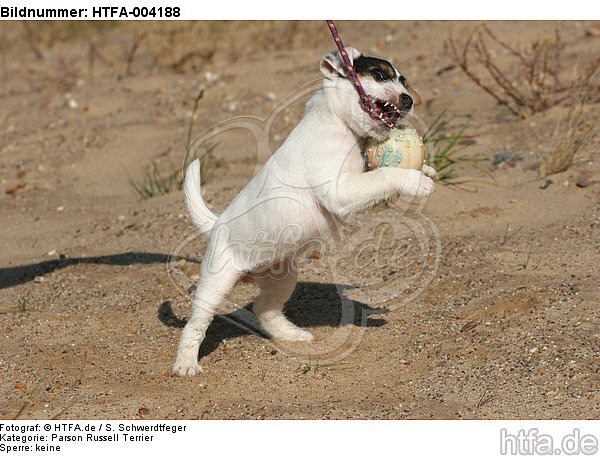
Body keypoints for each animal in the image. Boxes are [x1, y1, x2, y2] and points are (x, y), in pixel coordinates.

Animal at [171, 47, 438, 374]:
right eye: (378, 75)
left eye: (403, 81)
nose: (409, 100)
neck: (339, 124)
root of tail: (218, 223)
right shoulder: (340, 192)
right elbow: (384, 176)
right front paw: (414, 181)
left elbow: (381, 175)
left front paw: (425, 170)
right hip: (215, 284)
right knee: (195, 325)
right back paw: (185, 364)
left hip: (283, 277)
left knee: (264, 308)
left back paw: (291, 334)